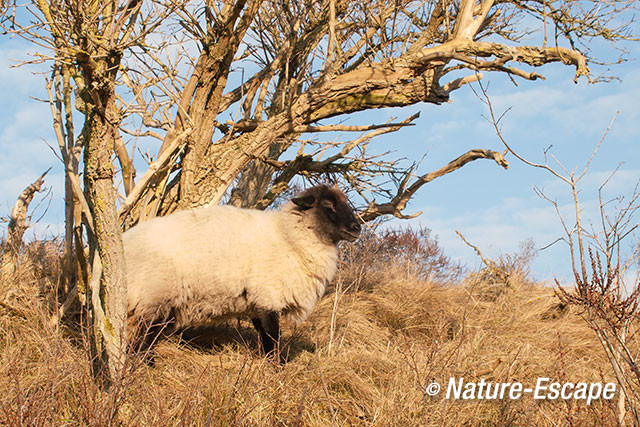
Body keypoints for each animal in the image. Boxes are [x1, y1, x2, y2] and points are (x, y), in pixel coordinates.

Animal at [124, 184, 360, 358]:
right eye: (328, 204)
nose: (357, 229)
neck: (289, 236)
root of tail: (127, 241)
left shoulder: (257, 304)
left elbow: (265, 338)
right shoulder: (269, 297)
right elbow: (273, 338)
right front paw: (277, 369)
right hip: (153, 297)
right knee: (141, 341)